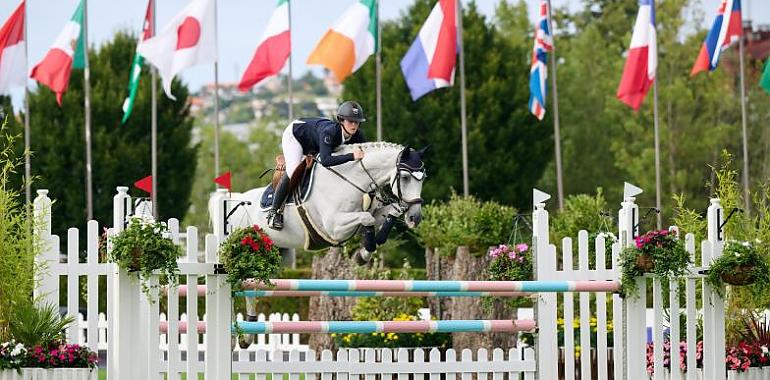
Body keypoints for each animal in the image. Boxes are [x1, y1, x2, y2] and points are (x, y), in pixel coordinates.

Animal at [208, 141, 426, 260]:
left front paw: (368, 248)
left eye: (424, 178)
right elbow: (367, 218)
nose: (415, 218)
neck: (350, 178)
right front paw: (363, 255)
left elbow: (386, 214)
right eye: (405, 177)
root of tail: (231, 200)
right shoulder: (334, 227)